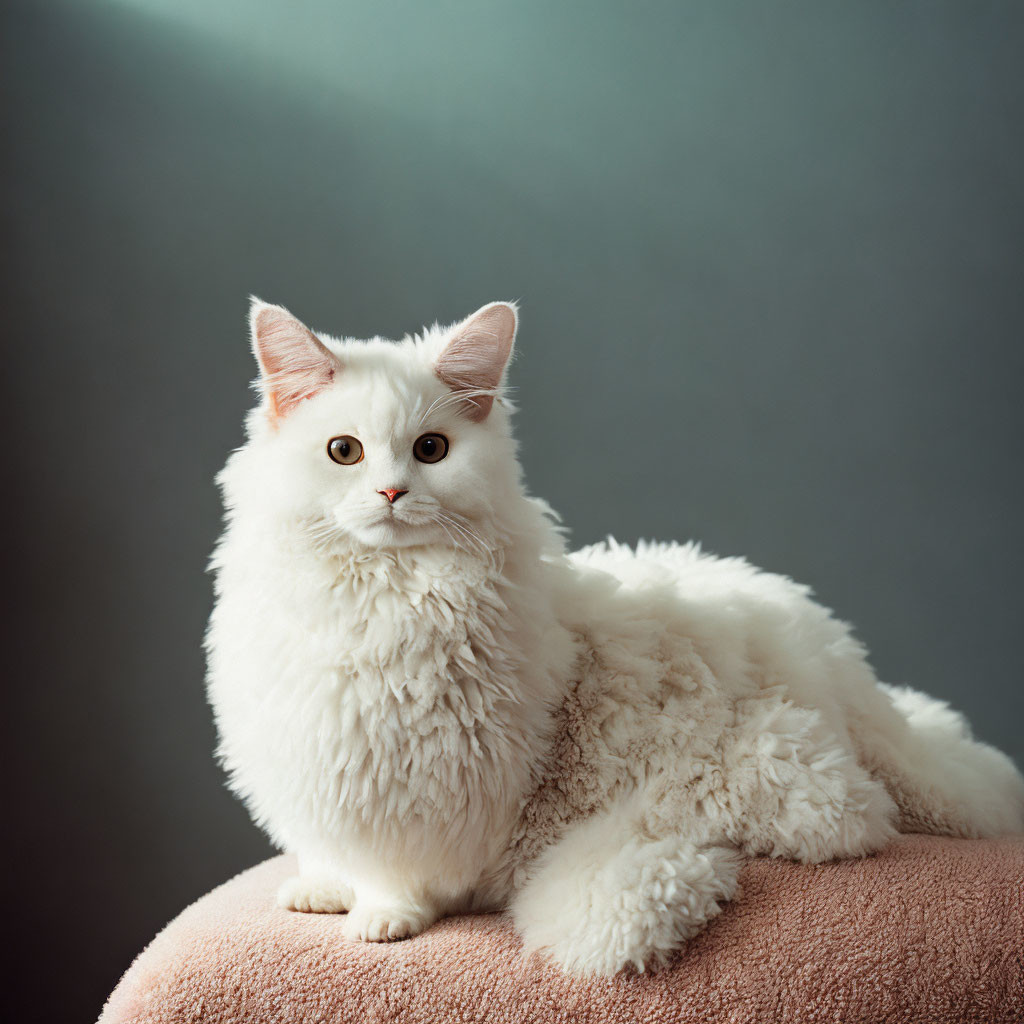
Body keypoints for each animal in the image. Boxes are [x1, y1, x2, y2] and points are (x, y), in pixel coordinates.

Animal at [205, 299, 1024, 974]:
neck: (381, 593)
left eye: (431, 450)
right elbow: (333, 854)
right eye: (343, 452)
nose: (391, 493)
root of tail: (837, 655)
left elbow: (406, 879)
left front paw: (382, 917)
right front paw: (323, 887)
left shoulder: (440, 790)